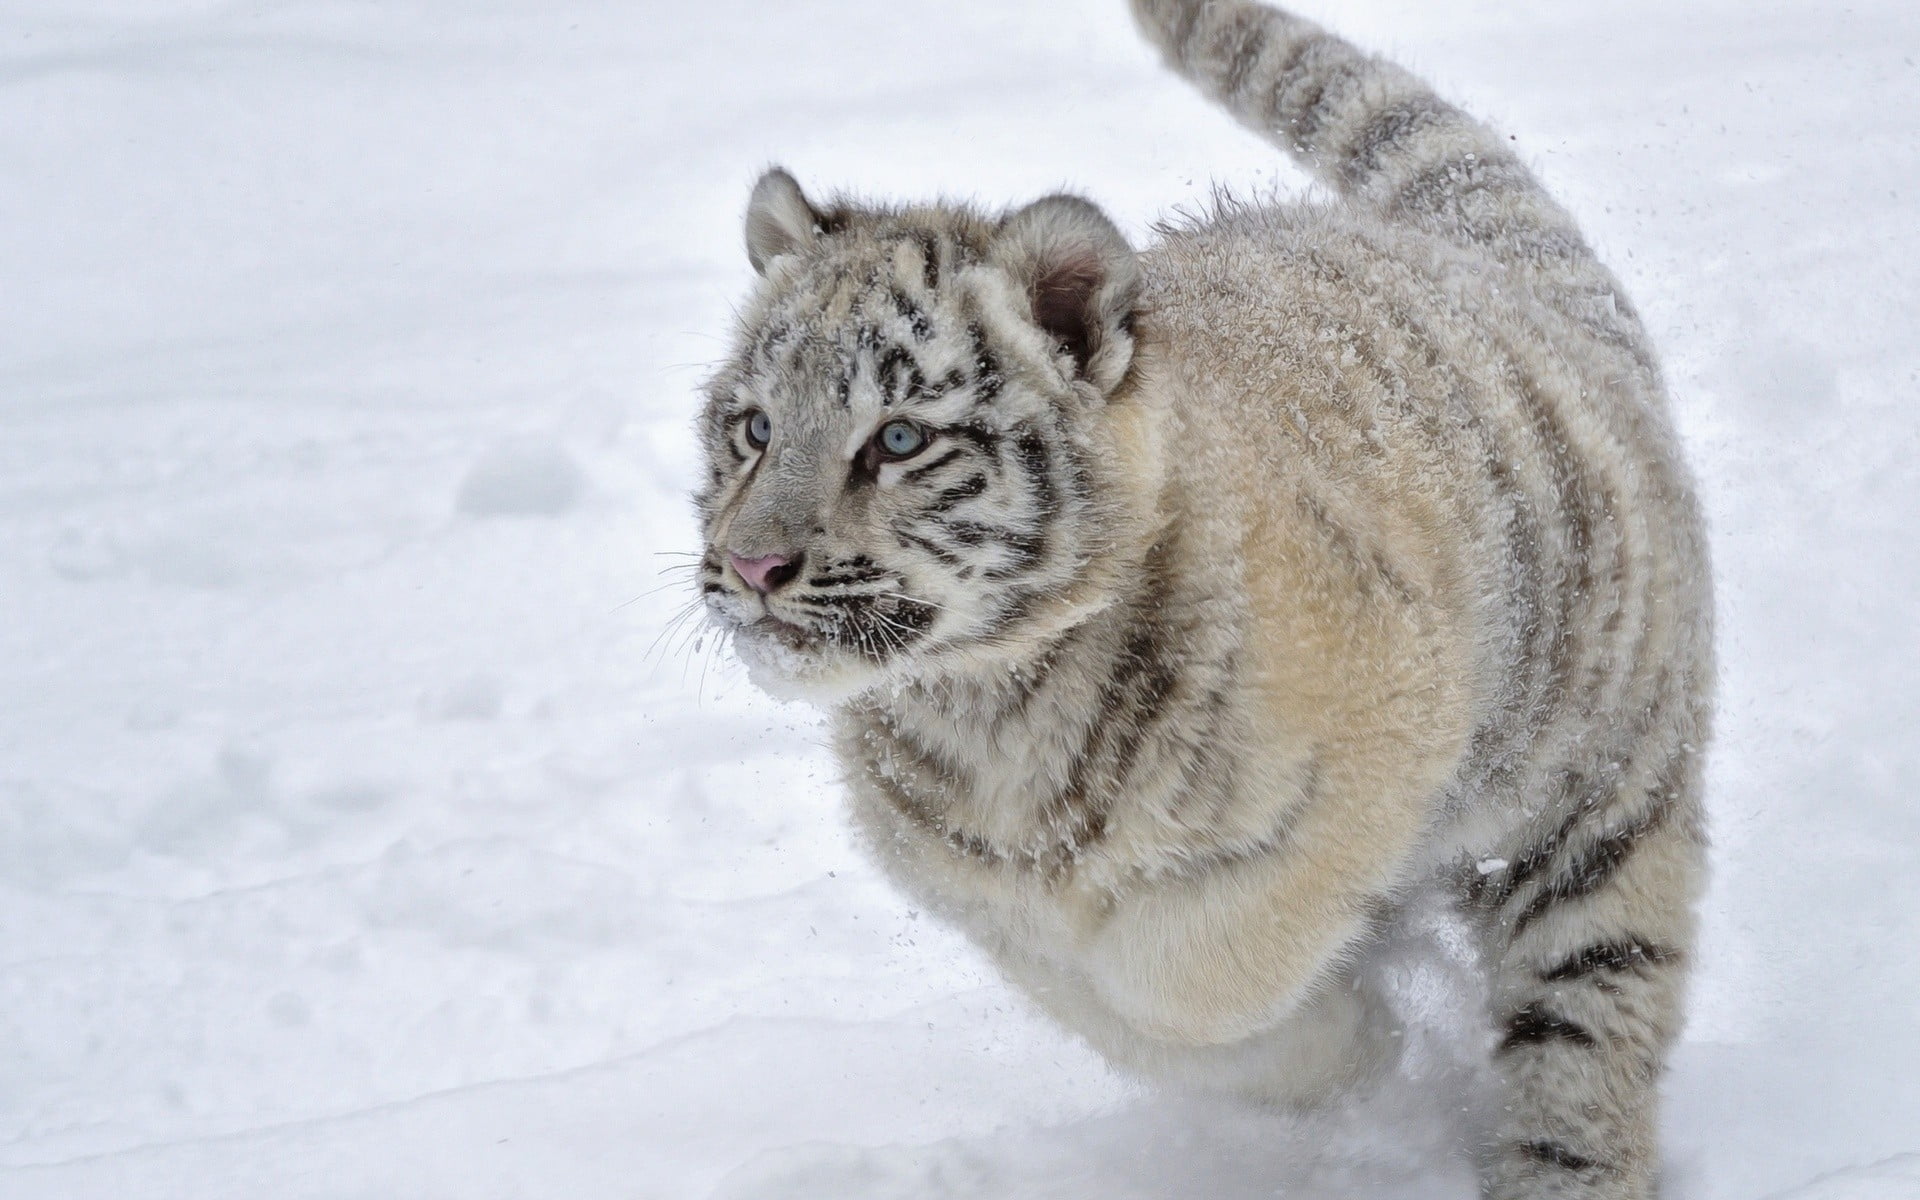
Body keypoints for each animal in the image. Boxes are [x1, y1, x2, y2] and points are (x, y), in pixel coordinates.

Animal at [689, 1, 1713, 1196]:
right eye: (756, 428)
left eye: (898, 440)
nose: (750, 566)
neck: (992, 705)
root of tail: (1486, 269)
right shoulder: (997, 910)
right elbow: (1126, 1011)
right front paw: (1342, 1046)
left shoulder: (1375, 750)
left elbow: (1190, 973)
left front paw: (1357, 1038)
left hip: (1599, 805)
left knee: (1586, 1027)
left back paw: (1562, 1165)